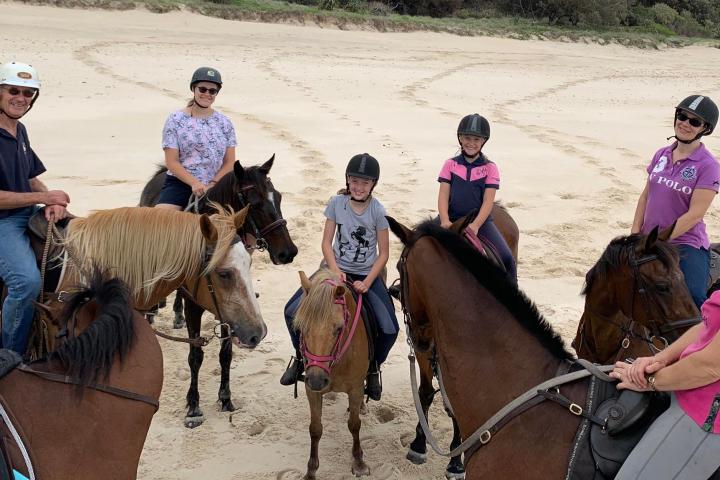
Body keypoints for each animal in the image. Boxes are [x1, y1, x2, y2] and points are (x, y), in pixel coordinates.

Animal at [294, 270, 370, 479]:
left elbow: (354, 424)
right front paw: (311, 470)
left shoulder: (355, 388)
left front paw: (358, 461)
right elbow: (315, 428)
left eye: (339, 328)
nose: (317, 380)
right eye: (301, 327)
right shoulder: (311, 390)